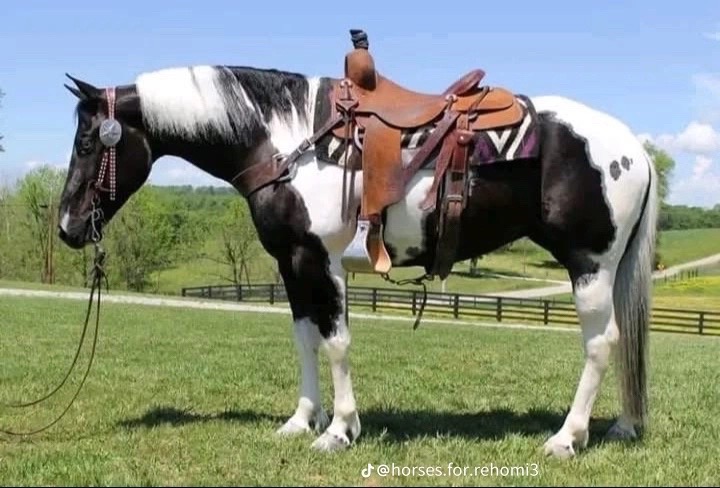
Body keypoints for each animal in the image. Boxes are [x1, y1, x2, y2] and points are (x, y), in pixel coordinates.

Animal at [56, 58, 658, 459]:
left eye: (87, 144)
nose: (66, 226)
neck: (287, 140)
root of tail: (634, 147)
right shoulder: (291, 263)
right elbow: (305, 338)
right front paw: (303, 420)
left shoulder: (321, 260)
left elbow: (337, 341)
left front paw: (340, 430)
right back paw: (623, 426)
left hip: (589, 264)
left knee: (601, 344)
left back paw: (566, 438)